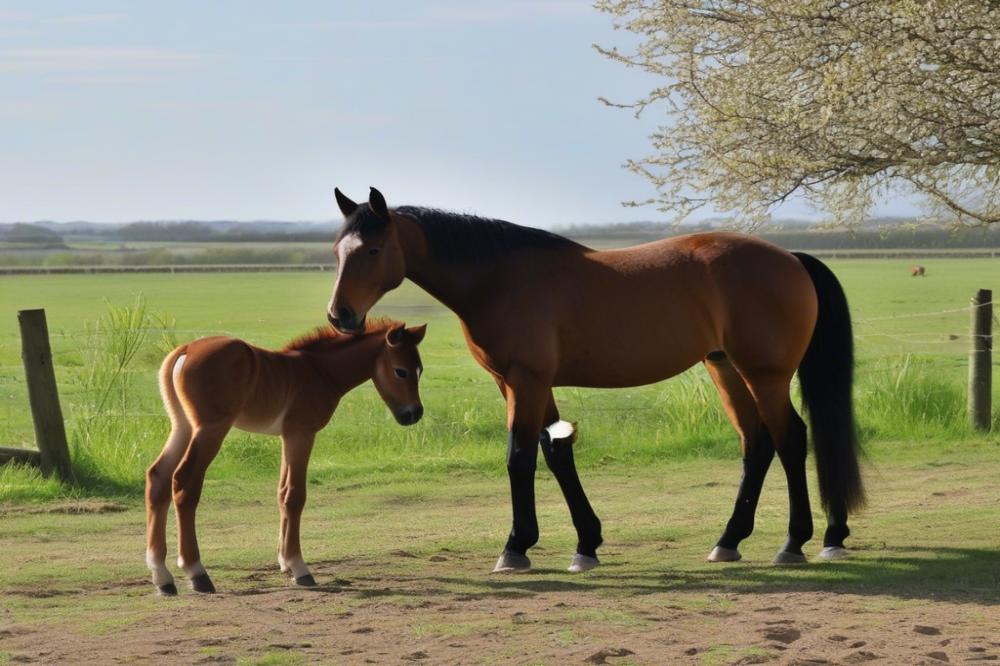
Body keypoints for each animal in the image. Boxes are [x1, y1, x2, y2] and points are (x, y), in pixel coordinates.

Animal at [143, 316, 424, 592]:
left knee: (158, 477)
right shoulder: (301, 435)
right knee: (183, 482)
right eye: (401, 371)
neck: (318, 371)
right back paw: (196, 572)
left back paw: (162, 576)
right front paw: (299, 568)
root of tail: (185, 349)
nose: (413, 414)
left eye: (419, 370)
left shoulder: (285, 437)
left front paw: (284, 564)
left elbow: (281, 493)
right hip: (210, 430)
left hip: (182, 426)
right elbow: (295, 496)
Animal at [324, 187, 864, 572]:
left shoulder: (526, 380)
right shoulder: (522, 383)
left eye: (373, 250)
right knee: (757, 443)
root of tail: (790, 257)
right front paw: (586, 543)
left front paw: (515, 547)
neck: (499, 279)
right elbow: (556, 452)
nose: (340, 316)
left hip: (764, 374)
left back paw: (795, 540)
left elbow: (519, 457)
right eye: (336, 250)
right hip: (725, 368)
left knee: (790, 438)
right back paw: (732, 540)